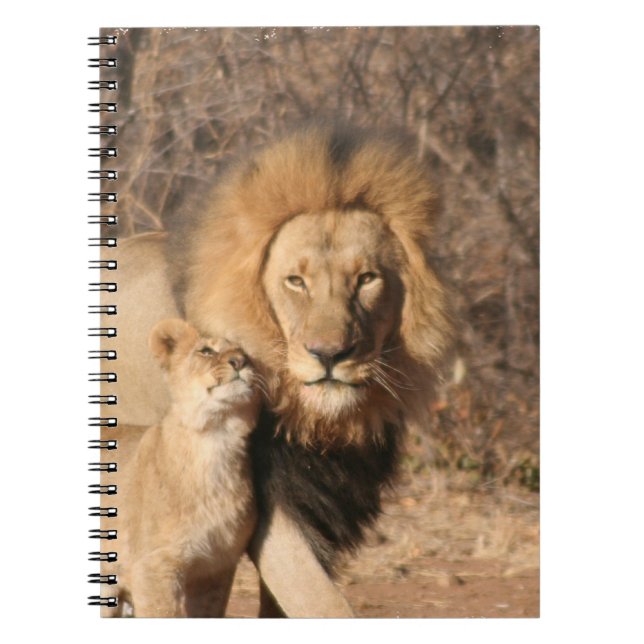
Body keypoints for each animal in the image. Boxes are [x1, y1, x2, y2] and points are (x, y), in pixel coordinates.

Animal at [103, 319, 260, 617]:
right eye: (206, 351)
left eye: (247, 354)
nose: (239, 361)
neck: (215, 439)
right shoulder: (153, 567)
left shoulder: (215, 569)